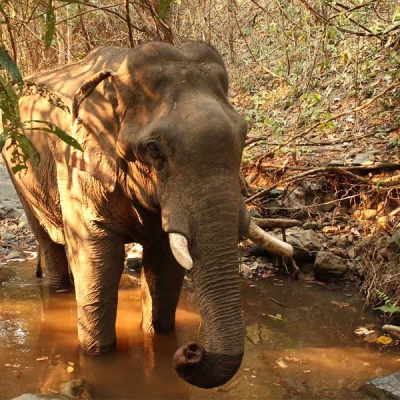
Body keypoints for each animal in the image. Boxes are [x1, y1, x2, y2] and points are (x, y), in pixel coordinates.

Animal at [1, 42, 292, 390]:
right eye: (154, 150)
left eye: (244, 135)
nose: (192, 350)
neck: (116, 79)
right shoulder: (77, 166)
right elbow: (97, 258)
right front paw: (98, 355)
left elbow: (165, 263)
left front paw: (160, 337)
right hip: (19, 173)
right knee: (47, 240)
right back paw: (59, 290)